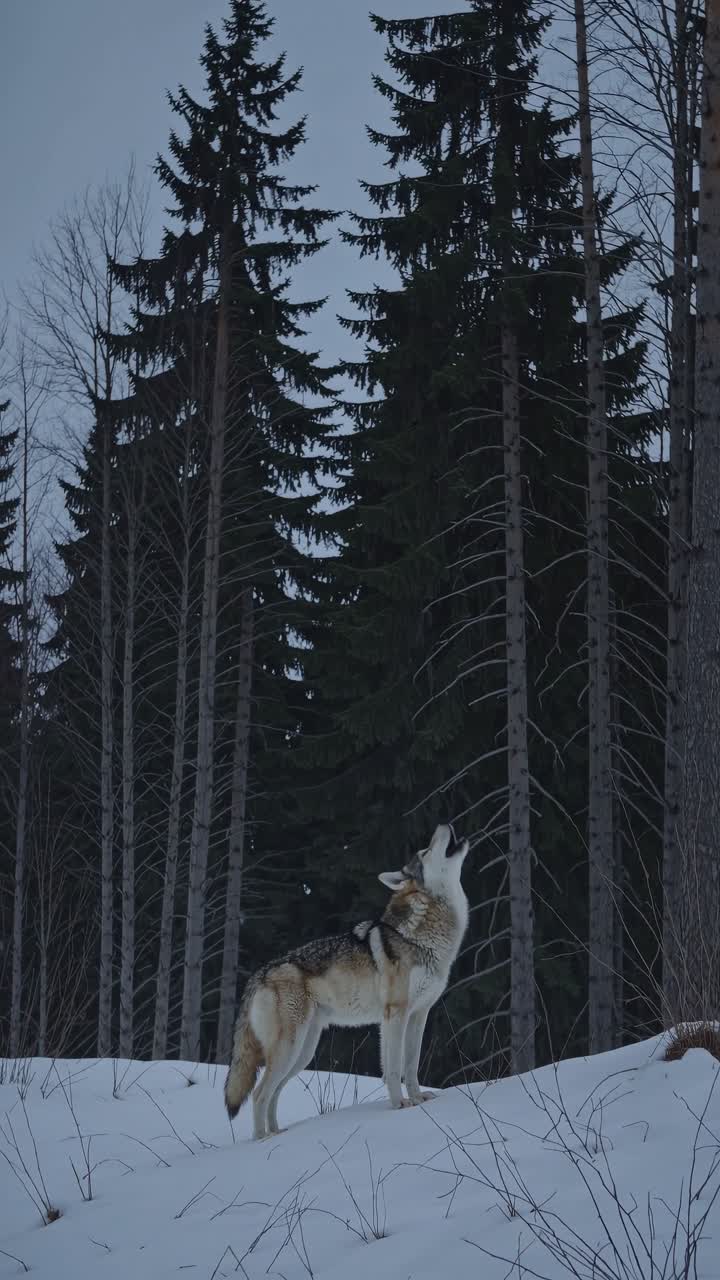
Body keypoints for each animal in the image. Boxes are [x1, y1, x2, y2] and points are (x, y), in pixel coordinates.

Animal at [224, 822, 469, 1139]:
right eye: (425, 850)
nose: (444, 824)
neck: (423, 935)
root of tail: (260, 974)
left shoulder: (419, 1014)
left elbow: (412, 1065)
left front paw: (417, 1100)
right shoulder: (395, 1014)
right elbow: (393, 1069)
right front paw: (399, 1106)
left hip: (302, 1052)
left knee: (274, 1093)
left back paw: (278, 1134)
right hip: (289, 1048)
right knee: (259, 1094)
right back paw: (263, 1140)